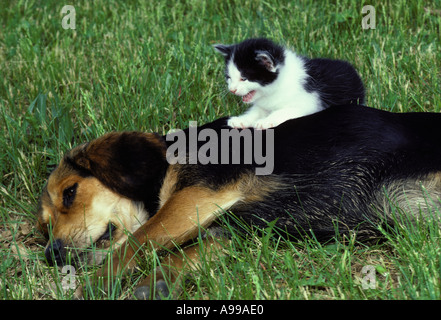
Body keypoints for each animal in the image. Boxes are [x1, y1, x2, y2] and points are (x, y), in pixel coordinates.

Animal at [36, 105, 440, 300]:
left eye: (70, 193)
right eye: (44, 227)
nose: (51, 255)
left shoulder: (198, 195)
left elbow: (135, 243)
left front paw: (93, 286)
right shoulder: (223, 232)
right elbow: (177, 257)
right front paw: (155, 285)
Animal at [214, 37, 364, 127]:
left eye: (244, 78)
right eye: (229, 77)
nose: (232, 89)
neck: (278, 85)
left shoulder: (308, 104)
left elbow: (282, 111)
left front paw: (265, 122)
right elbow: (256, 111)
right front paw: (241, 120)